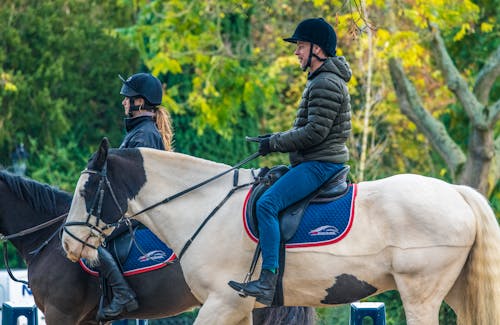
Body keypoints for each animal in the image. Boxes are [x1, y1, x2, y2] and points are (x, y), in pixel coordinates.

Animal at [62, 140, 500, 324]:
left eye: (86, 189)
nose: (67, 243)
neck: (203, 205)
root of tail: (457, 194)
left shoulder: (221, 304)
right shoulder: (236, 309)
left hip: (420, 295)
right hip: (457, 292)